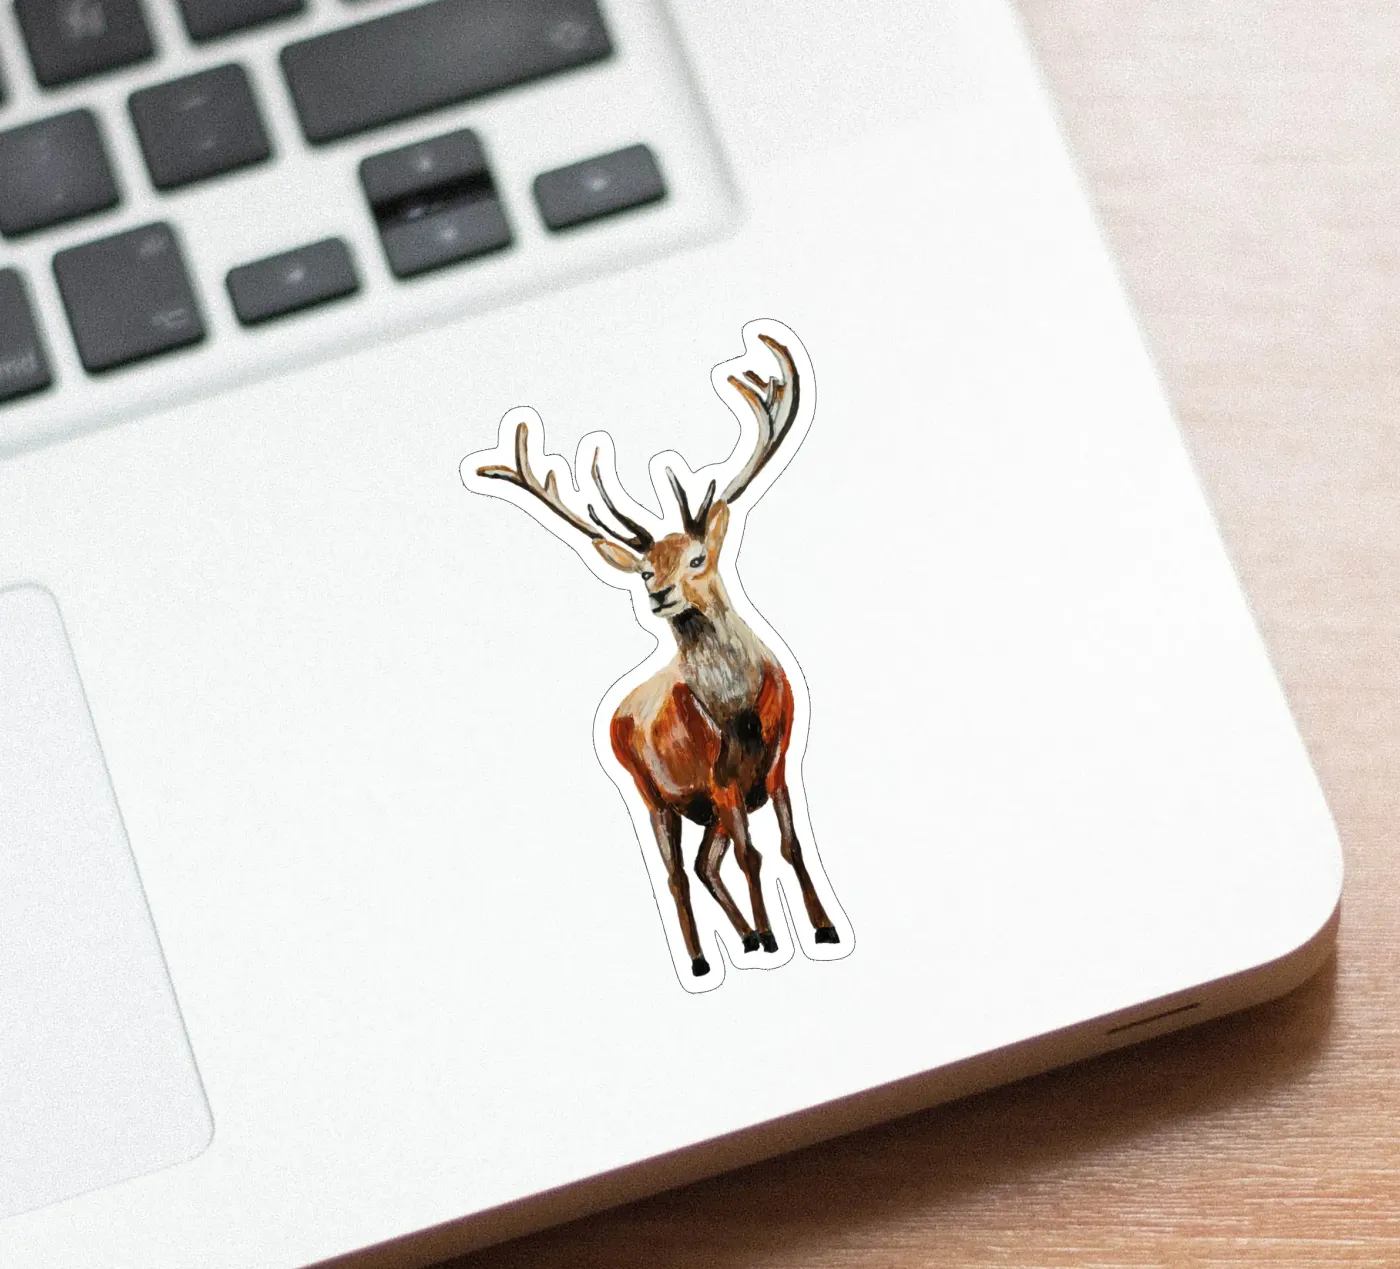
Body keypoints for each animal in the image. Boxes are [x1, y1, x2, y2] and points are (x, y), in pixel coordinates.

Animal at [471, 333, 839, 978]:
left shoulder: (778, 760)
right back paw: (702, 959)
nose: (658, 595)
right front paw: (775, 939)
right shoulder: (720, 780)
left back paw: (743, 939)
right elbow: (751, 856)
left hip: (700, 805)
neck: (739, 712)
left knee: (703, 864)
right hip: (653, 792)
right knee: (677, 874)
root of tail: (617, 713)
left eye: (696, 558)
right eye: (646, 569)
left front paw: (821, 927)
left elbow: (791, 846)